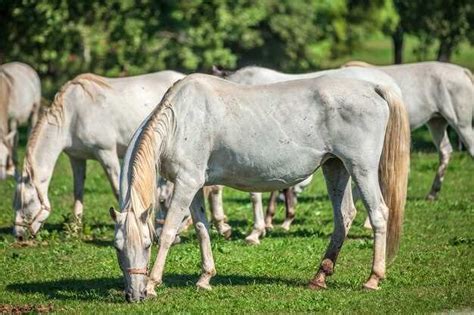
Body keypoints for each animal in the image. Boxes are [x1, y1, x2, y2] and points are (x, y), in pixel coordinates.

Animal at [12, 71, 183, 239]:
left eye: (26, 203)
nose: (18, 234)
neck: (72, 115)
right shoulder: (77, 158)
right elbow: (78, 192)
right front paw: (75, 230)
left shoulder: (106, 153)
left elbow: (118, 191)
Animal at [109, 73, 410, 302]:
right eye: (117, 247)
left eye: (147, 244)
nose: (134, 295)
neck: (179, 119)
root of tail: (371, 87)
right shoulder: (192, 186)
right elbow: (202, 228)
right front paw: (205, 277)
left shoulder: (185, 184)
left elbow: (170, 231)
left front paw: (153, 284)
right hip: (335, 167)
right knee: (344, 216)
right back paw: (319, 277)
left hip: (361, 169)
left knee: (378, 213)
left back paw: (373, 278)